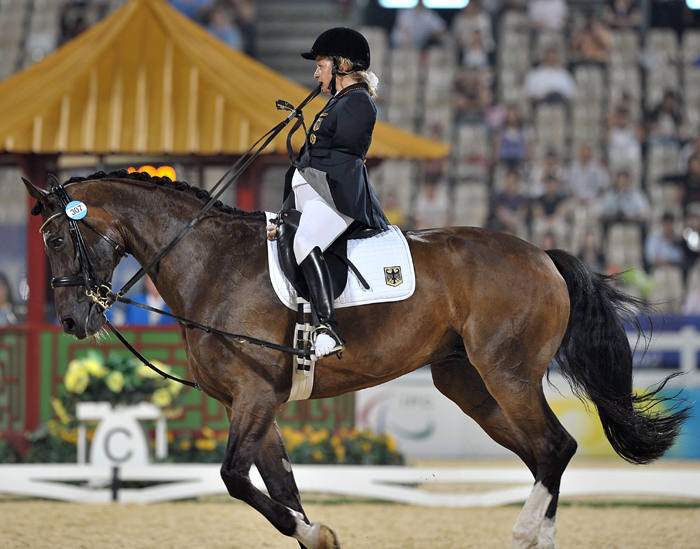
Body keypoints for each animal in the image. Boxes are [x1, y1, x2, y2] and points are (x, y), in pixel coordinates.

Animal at [24, 171, 688, 548]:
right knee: (542, 455)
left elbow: (235, 477)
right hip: (467, 384)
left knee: (554, 447)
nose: (72, 322)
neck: (211, 264)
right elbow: (281, 488)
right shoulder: (255, 404)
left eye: (55, 238)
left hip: (509, 373)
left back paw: (525, 533)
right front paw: (317, 534)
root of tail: (541, 254)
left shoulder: (255, 396)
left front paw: (315, 531)